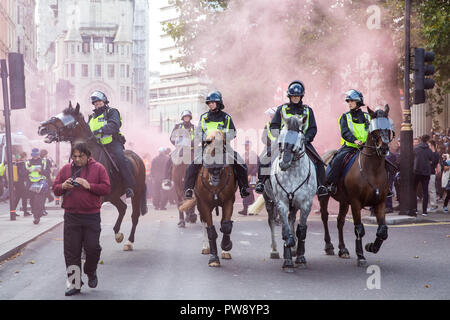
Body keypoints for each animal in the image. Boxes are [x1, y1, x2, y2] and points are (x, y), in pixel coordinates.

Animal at [38, 101, 148, 251]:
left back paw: (129, 242)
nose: (41, 127)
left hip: (136, 193)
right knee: (122, 208)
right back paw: (117, 233)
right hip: (113, 195)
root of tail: (137, 158)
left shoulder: (97, 199)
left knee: (134, 216)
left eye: (64, 118)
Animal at [179, 130, 237, 268]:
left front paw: (226, 246)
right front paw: (214, 258)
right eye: (208, 143)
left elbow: (226, 225)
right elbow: (210, 230)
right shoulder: (204, 204)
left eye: (223, 146)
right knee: (204, 223)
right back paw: (206, 247)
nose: (214, 174)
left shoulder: (228, 201)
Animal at [266, 116, 318, 272]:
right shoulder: (281, 203)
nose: (284, 163)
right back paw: (275, 250)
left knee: (292, 219)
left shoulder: (306, 204)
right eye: (281, 137)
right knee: (272, 222)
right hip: (269, 201)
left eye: (301, 139)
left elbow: (301, 230)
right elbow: (285, 230)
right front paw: (288, 259)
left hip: (294, 205)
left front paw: (300, 257)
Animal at [320, 105, 394, 268]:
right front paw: (361, 255)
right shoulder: (355, 202)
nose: (384, 147)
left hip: (343, 201)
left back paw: (343, 249)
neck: (372, 170)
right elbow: (359, 228)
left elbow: (382, 230)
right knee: (325, 217)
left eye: (388, 128)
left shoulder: (380, 202)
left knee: (340, 221)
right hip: (324, 196)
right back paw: (329, 246)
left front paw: (371, 247)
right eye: (374, 129)